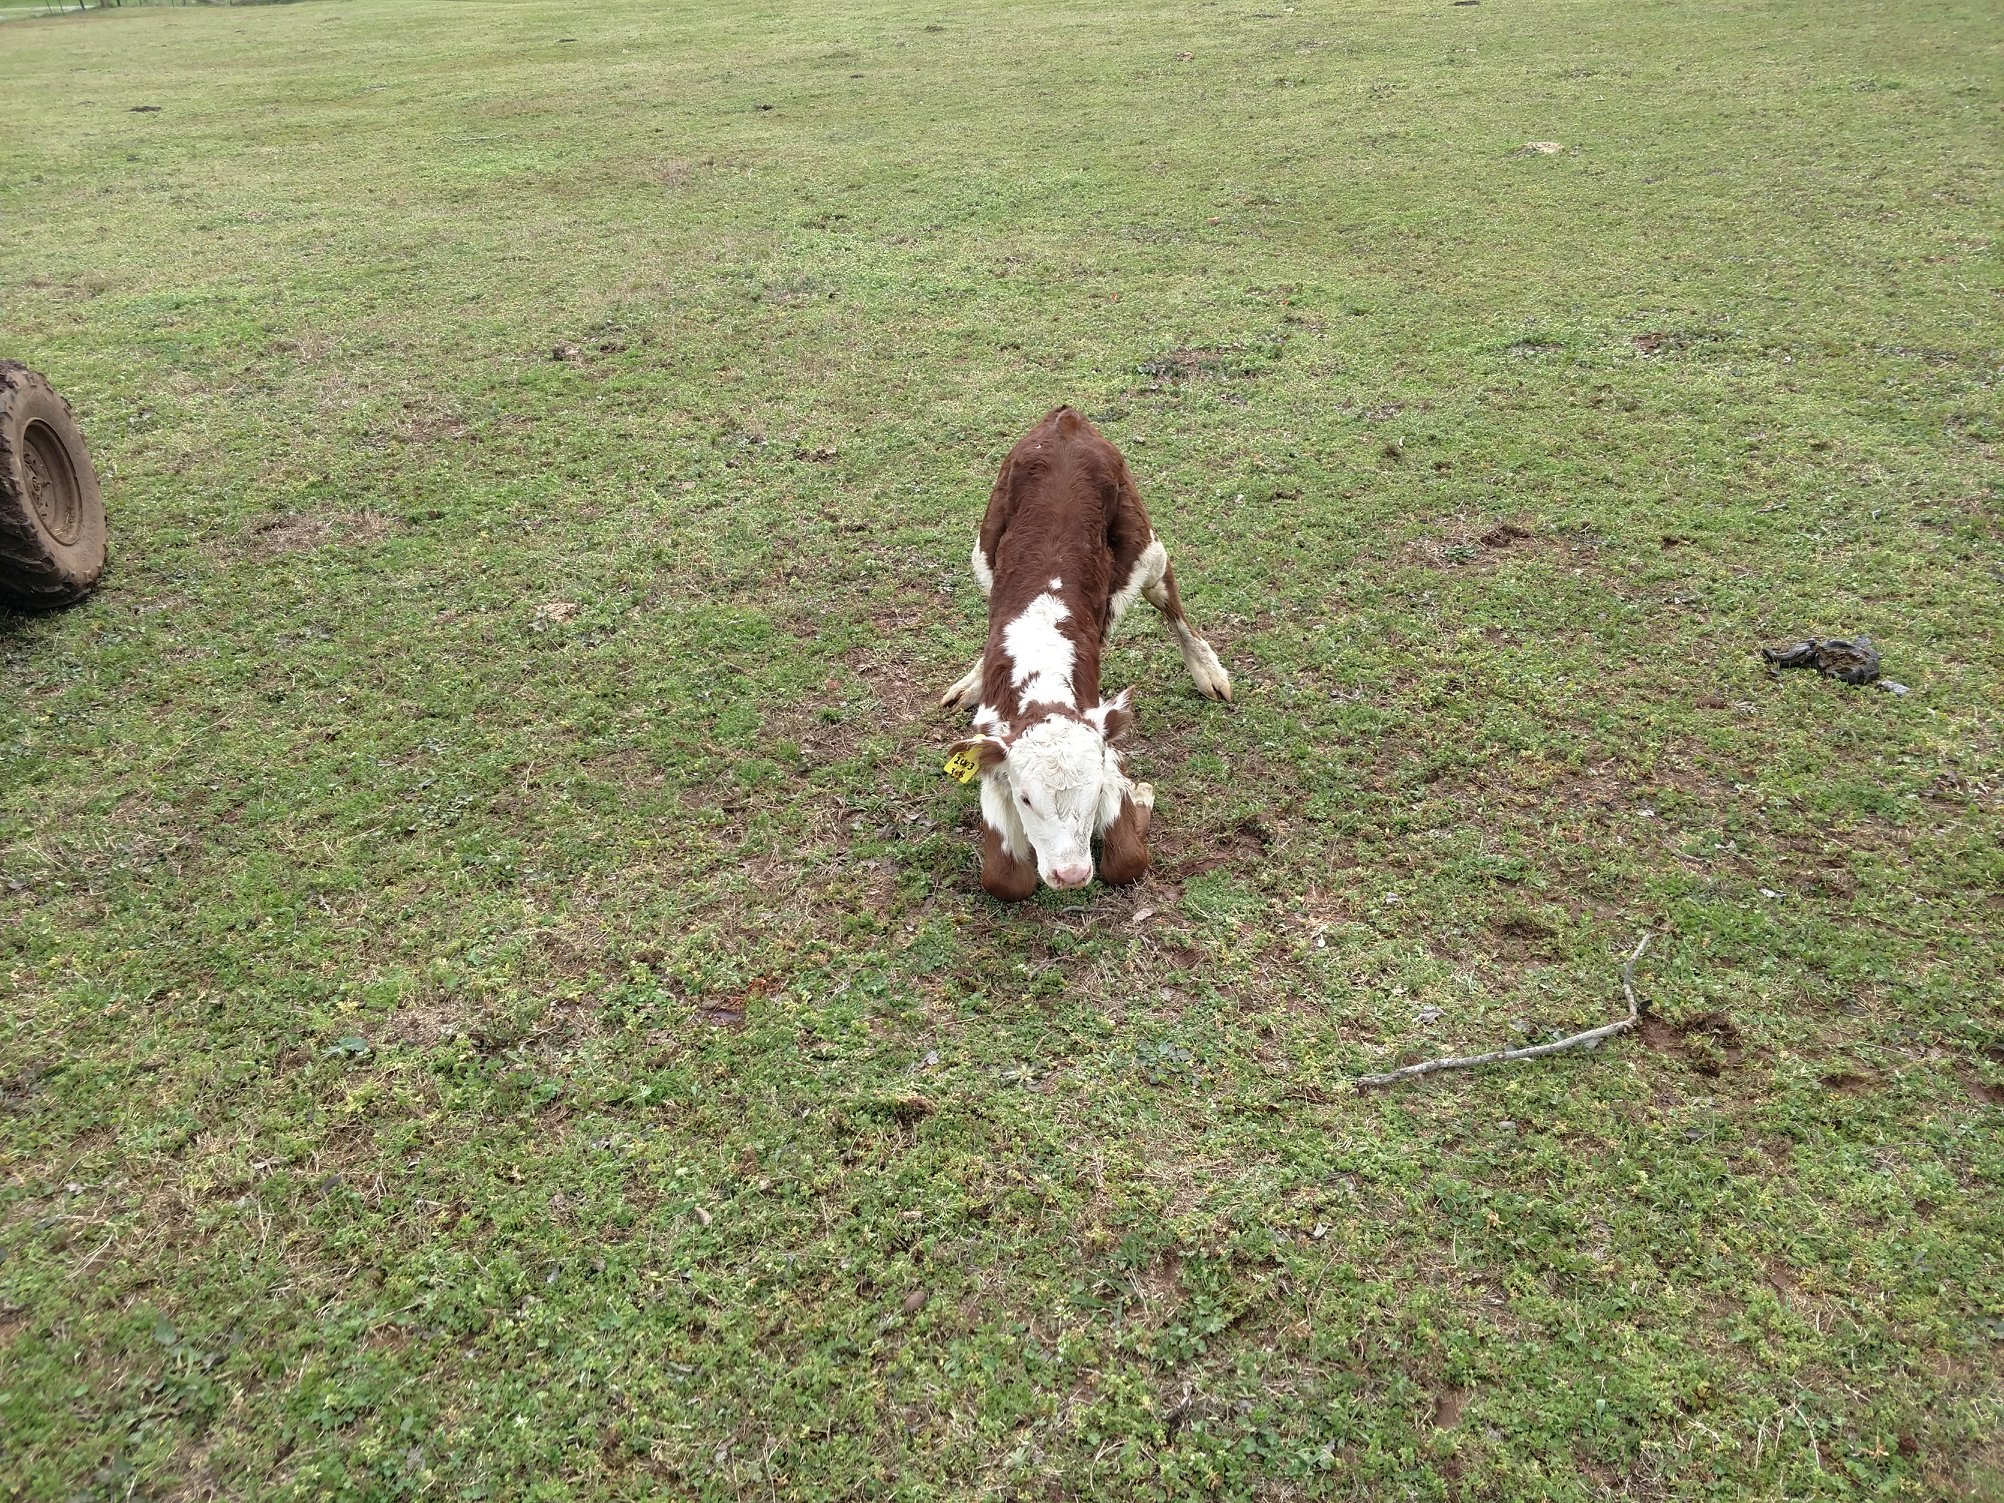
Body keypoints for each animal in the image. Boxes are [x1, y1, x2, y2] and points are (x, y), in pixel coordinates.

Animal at [941, 406, 1232, 900]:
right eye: (1025, 798)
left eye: (1094, 791)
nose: (1071, 874)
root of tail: (1066, 420)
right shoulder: (992, 760)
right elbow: (1005, 879)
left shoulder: (1105, 751)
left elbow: (1128, 859)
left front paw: (1141, 796)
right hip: (983, 549)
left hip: (1144, 546)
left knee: (1170, 601)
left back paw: (1207, 670)